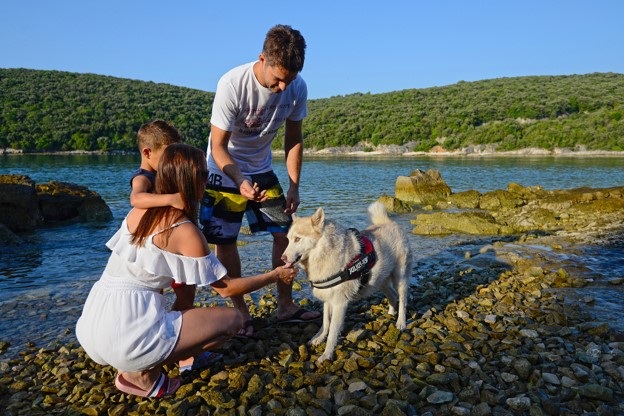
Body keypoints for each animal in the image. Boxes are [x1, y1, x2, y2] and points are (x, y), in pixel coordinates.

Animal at [282, 203, 410, 362]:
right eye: (288, 239)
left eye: (298, 239)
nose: (282, 258)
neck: (324, 253)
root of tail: (388, 222)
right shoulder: (328, 299)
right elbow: (326, 323)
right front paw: (318, 338)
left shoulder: (339, 303)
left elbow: (333, 332)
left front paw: (327, 355)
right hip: (381, 281)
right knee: (392, 295)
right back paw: (392, 312)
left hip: (400, 278)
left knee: (403, 301)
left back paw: (401, 322)